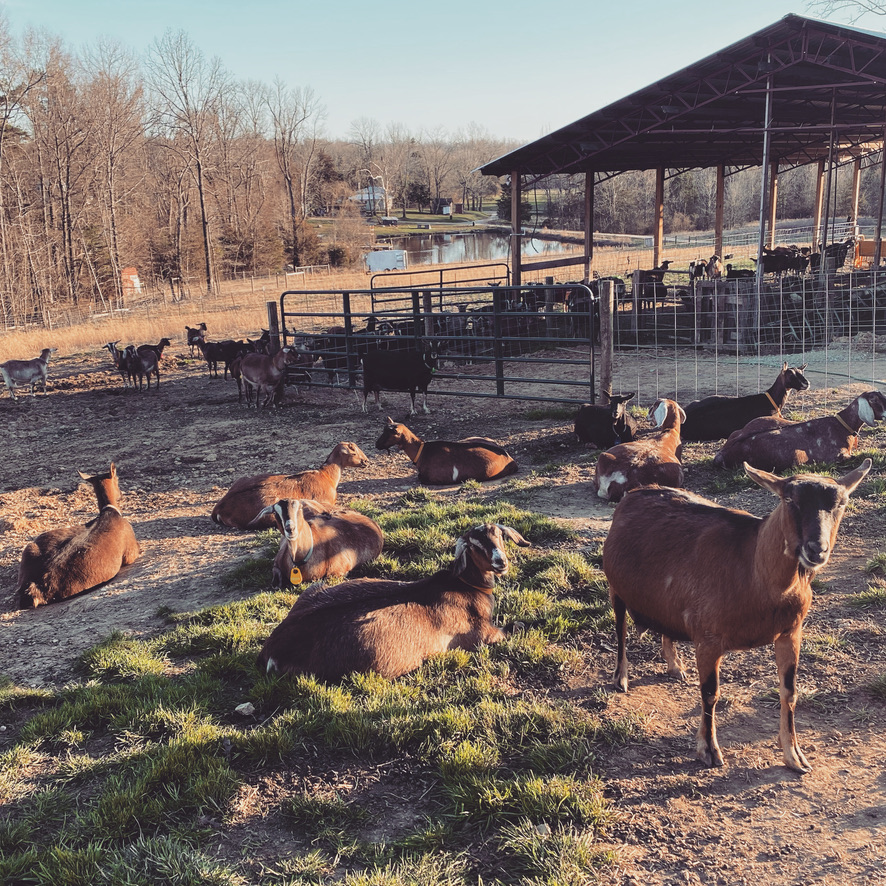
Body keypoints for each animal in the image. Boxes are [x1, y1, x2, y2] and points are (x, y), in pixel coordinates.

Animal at [15, 462, 141, 608]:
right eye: (117, 479)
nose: (120, 493)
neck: (110, 512)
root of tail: (36, 587)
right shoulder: (130, 550)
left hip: (30, 548)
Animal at [256, 523, 530, 681]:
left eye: (500, 535)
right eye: (474, 544)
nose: (500, 562)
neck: (464, 586)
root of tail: (274, 648)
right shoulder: (481, 635)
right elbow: (516, 627)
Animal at [375, 418, 518, 484]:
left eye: (389, 433)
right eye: (383, 430)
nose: (377, 444)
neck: (422, 451)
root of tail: (510, 459)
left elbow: (420, 478)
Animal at [603, 458, 871, 771]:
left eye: (842, 502)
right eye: (789, 499)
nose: (816, 550)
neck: (755, 575)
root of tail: (634, 493)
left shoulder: (791, 631)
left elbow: (789, 692)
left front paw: (795, 756)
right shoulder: (708, 638)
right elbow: (710, 693)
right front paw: (709, 750)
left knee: (665, 625)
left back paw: (675, 666)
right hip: (615, 586)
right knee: (620, 628)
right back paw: (621, 678)